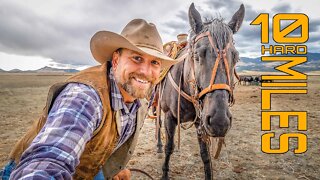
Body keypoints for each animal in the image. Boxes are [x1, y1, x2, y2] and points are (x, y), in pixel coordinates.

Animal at [156, 3, 246, 180]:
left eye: (236, 57)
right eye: (197, 55)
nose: (219, 121)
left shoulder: (201, 121)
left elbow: (205, 155)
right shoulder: (169, 116)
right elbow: (169, 147)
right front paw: (164, 173)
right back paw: (158, 145)